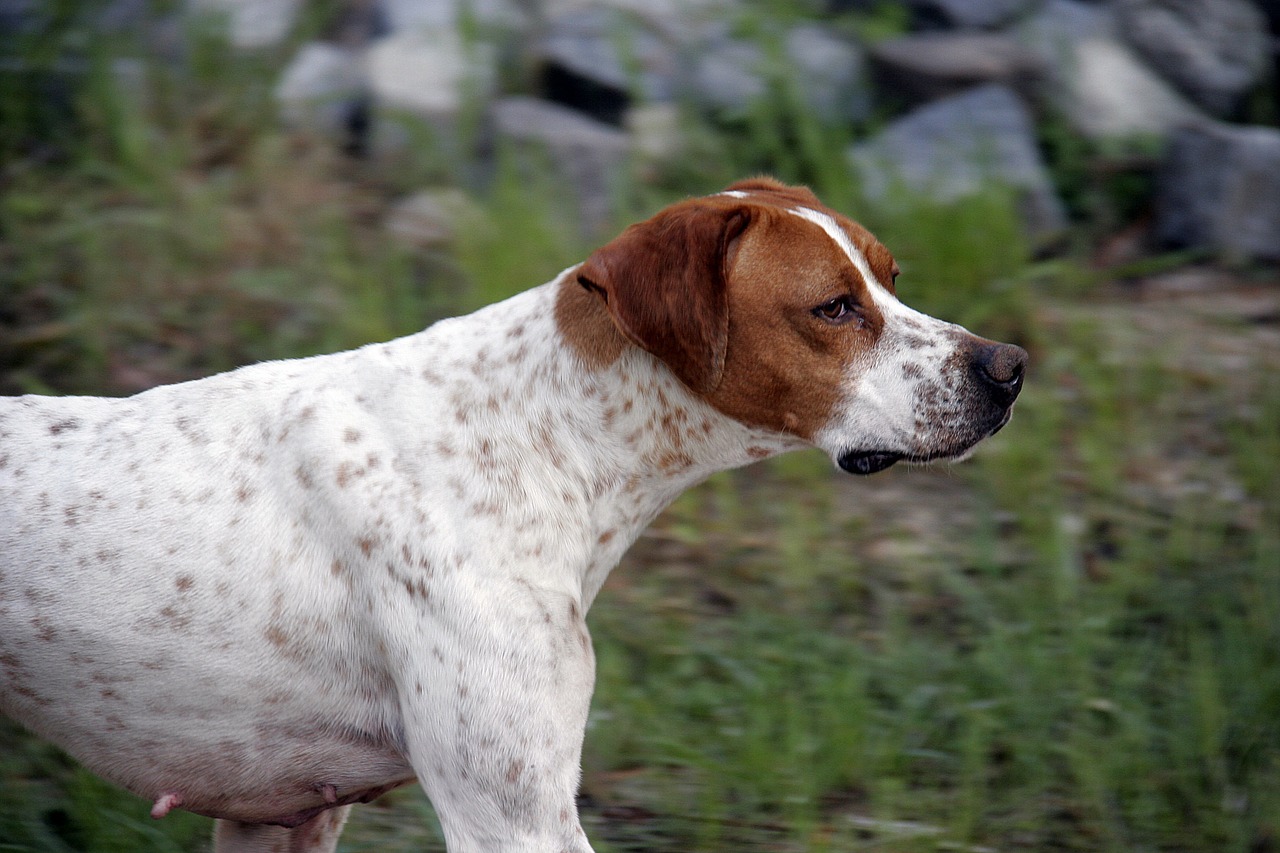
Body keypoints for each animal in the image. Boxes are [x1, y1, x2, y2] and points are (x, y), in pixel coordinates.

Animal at [0, 175, 1018, 845]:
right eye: (834, 307)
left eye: (891, 277)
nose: (1009, 367)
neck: (532, 436)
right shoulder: (513, 817)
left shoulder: (286, 814)